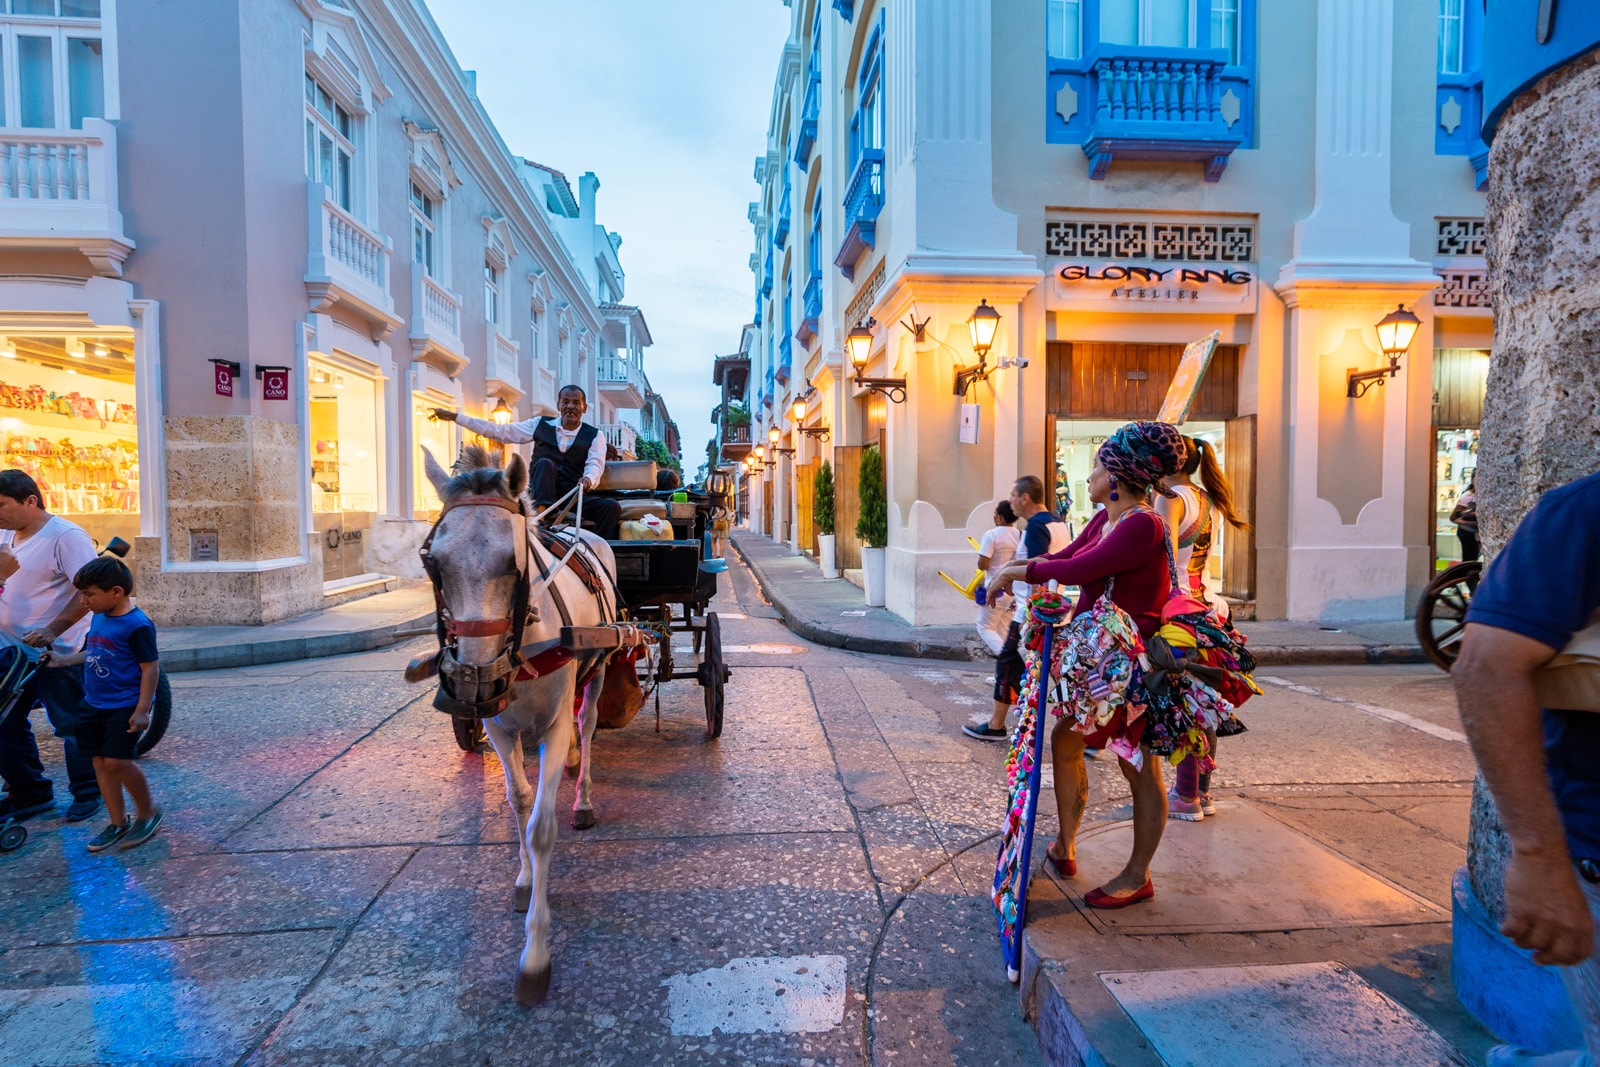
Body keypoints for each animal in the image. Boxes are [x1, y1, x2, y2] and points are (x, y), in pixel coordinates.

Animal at [419, 447, 617, 1004]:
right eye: (432, 561)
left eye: (514, 560)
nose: (474, 682)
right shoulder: (499, 729)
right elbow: (518, 800)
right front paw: (525, 880)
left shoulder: (550, 724)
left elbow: (542, 826)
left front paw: (535, 954)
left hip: (598, 671)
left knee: (587, 723)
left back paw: (584, 793)